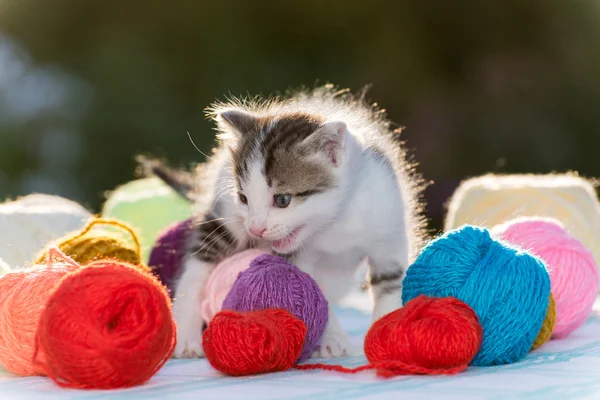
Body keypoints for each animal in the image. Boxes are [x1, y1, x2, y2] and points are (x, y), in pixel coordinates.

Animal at [144, 85, 426, 360]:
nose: (256, 229)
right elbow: (312, 293)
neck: (334, 223)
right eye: (244, 198)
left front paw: (387, 332)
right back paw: (187, 334)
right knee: (198, 263)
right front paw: (331, 338)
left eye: (282, 200)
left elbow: (390, 283)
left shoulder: (388, 229)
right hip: (223, 218)